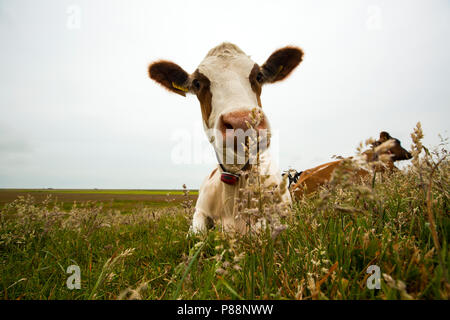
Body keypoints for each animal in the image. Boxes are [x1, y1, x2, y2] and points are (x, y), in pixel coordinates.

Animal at [149, 42, 304, 232]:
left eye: (259, 76)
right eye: (197, 83)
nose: (242, 122)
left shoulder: (286, 214)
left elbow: (263, 226)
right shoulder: (199, 213)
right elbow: (197, 232)